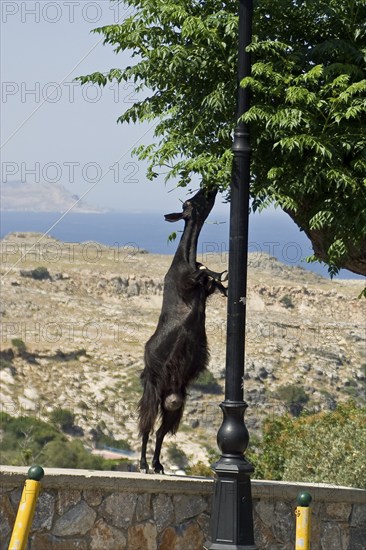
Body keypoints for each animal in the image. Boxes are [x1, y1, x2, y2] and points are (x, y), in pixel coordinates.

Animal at [139, 189, 227, 474]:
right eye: (188, 203)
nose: (209, 189)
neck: (185, 260)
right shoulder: (185, 282)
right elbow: (201, 275)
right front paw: (218, 273)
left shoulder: (204, 290)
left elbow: (210, 280)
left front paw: (222, 279)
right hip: (152, 390)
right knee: (145, 428)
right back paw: (143, 464)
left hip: (176, 402)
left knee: (160, 432)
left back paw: (158, 465)